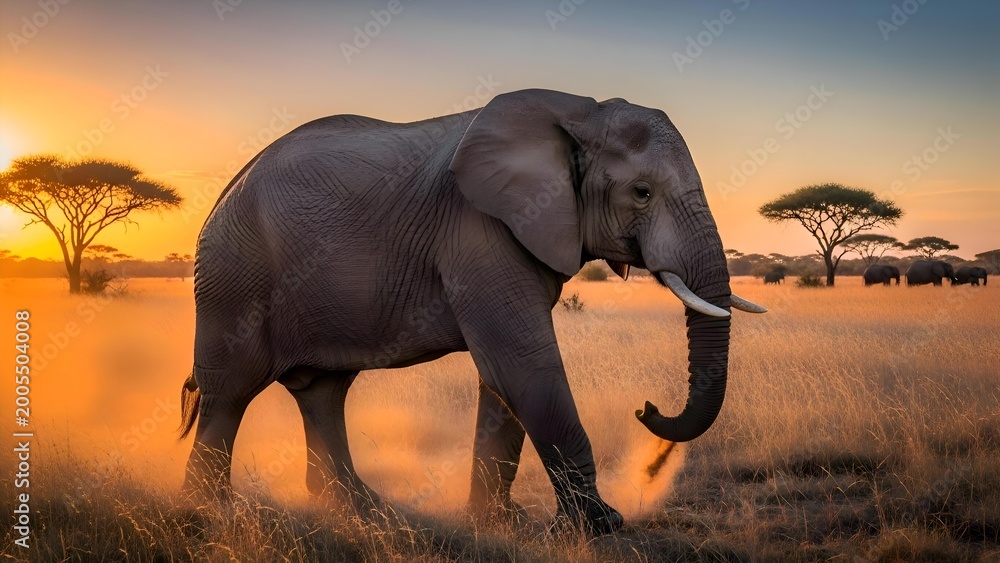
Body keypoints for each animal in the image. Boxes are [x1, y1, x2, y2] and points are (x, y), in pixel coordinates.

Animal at [177, 89, 767, 535]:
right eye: (642, 192)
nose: (646, 408)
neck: (579, 112)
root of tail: (225, 191)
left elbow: (502, 376)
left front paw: (500, 523)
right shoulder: (477, 230)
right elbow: (522, 363)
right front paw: (601, 527)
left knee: (322, 392)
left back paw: (363, 513)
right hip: (235, 277)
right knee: (230, 393)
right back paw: (208, 516)